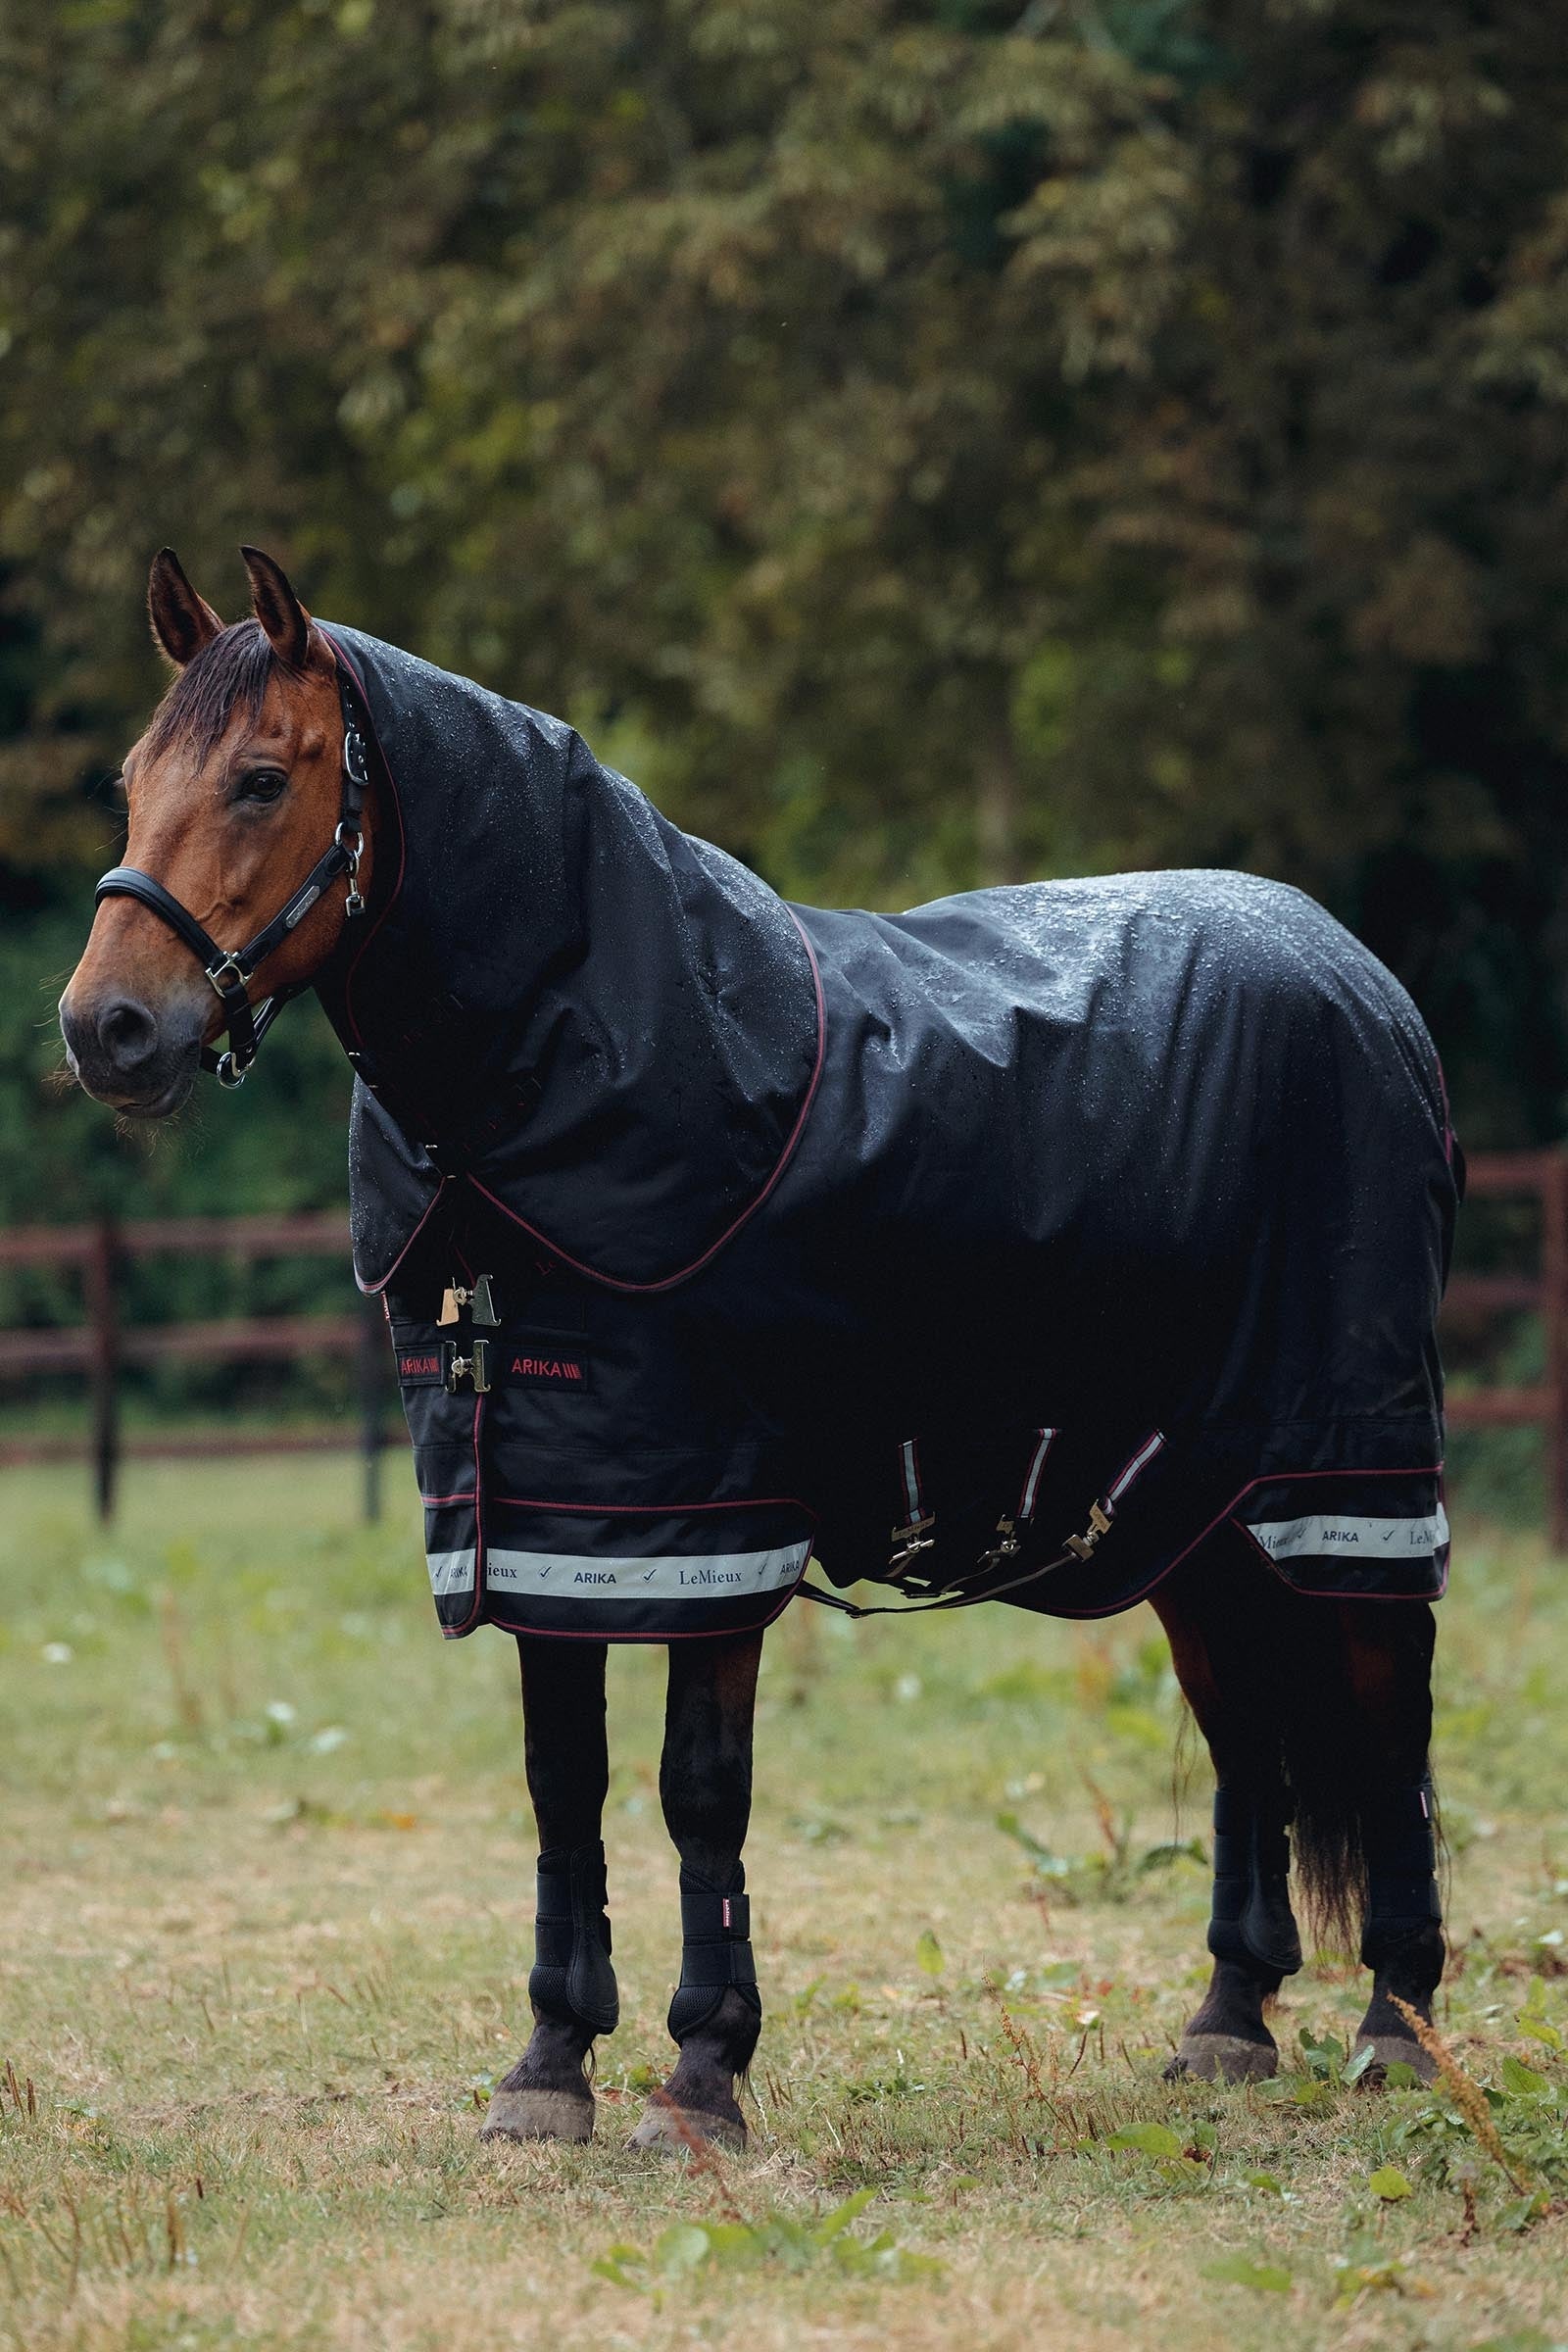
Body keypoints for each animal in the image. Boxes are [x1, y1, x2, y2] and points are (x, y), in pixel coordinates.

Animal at [60, 546, 1457, 2151]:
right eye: (132, 780)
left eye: (261, 777)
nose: (106, 1028)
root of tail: (1363, 984)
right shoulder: (552, 1516)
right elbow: (563, 1785)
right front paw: (548, 2070)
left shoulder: (710, 1523)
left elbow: (695, 1791)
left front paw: (701, 2077)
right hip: (1196, 1512)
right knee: (1247, 1736)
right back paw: (1228, 2019)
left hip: (1346, 1475)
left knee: (1391, 1711)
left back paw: (1399, 2025)